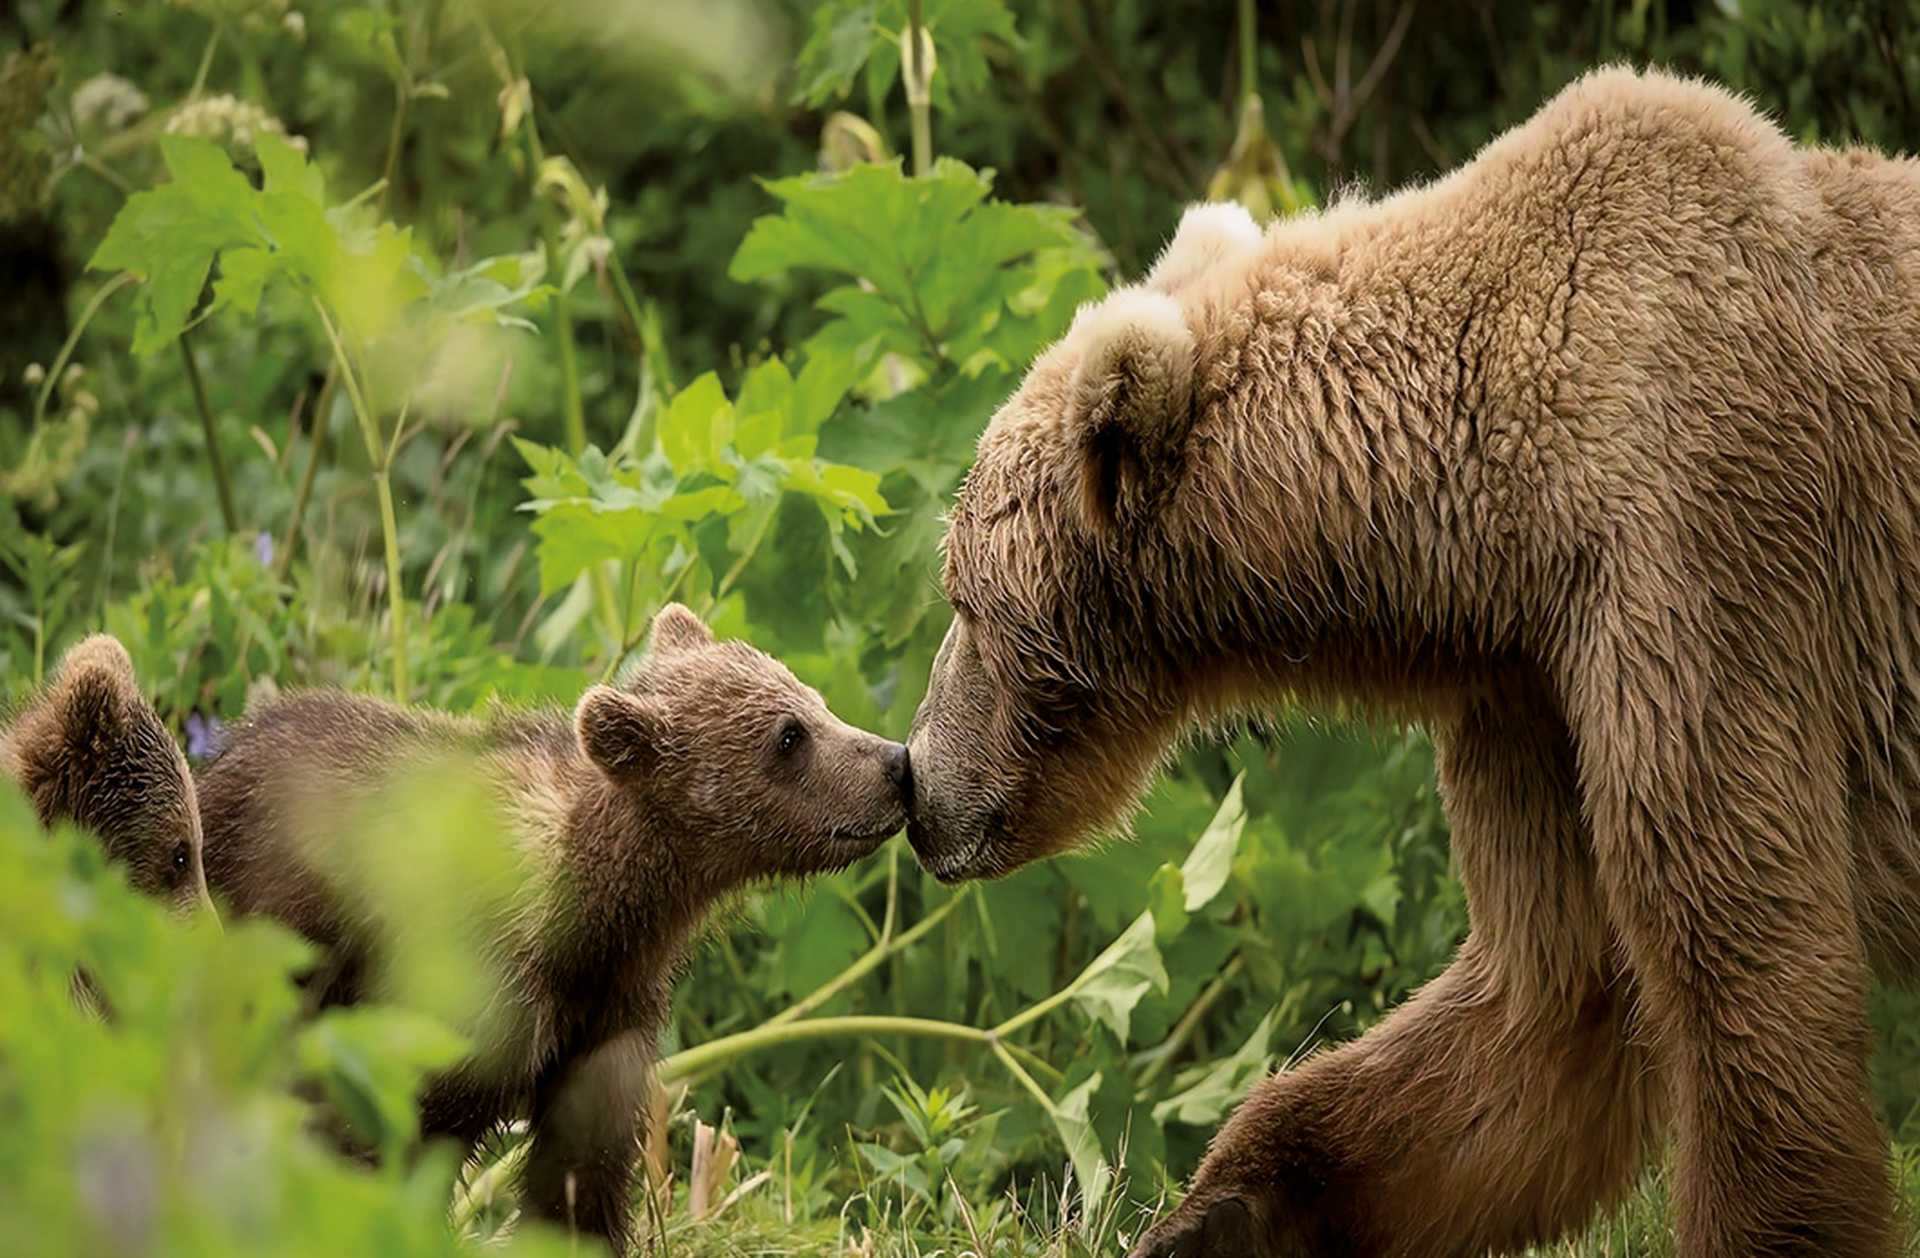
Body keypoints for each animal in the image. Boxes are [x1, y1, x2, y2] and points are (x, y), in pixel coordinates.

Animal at [196, 604, 910, 1251]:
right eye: (788, 735)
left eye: (813, 697)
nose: (896, 763)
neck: (595, 915)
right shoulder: (470, 996)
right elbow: (388, 1137)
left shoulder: (607, 1019)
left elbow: (580, 1175)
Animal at [905, 66, 1920, 1258]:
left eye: (964, 599)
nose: (918, 788)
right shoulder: (1532, 685)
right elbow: (1544, 1007)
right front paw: (1214, 1213)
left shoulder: (1697, 555)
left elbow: (1743, 961)